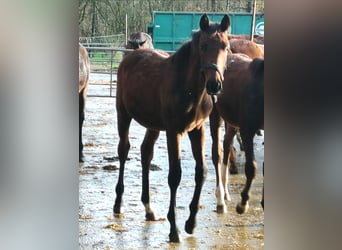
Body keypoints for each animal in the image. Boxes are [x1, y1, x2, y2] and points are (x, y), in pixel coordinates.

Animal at [114, 13, 230, 242]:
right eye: (203, 46)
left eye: (226, 46)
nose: (214, 85)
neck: (189, 89)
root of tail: (132, 55)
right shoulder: (174, 132)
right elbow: (175, 175)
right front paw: (174, 228)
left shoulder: (197, 130)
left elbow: (201, 172)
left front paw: (191, 223)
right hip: (123, 115)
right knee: (123, 151)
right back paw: (118, 204)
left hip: (153, 125)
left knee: (146, 153)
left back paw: (149, 208)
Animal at [208, 53, 264, 214]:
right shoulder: (247, 131)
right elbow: (251, 167)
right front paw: (243, 203)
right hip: (216, 114)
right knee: (217, 152)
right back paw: (220, 199)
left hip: (232, 121)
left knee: (227, 144)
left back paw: (226, 192)